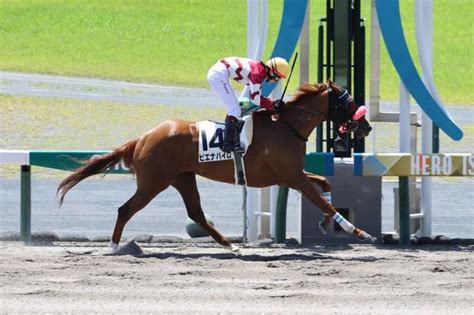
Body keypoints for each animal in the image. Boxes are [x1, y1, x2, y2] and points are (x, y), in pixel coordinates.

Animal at [56, 81, 374, 254]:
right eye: (348, 101)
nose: (367, 127)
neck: (286, 126)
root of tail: (143, 137)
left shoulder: (290, 175)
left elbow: (325, 185)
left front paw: (326, 223)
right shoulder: (292, 176)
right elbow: (321, 198)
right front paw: (358, 232)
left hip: (183, 178)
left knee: (196, 213)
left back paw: (229, 245)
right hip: (154, 182)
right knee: (126, 209)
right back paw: (113, 247)